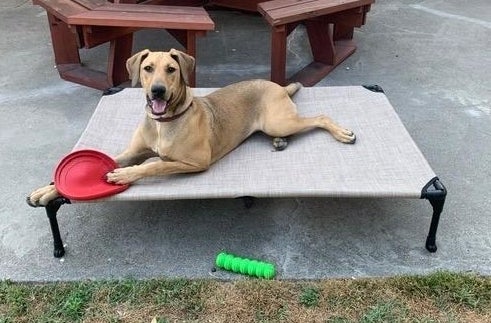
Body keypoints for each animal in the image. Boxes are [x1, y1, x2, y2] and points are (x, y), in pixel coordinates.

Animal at [26, 49, 356, 206]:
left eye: (171, 70)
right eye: (147, 69)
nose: (158, 91)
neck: (164, 123)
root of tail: (278, 85)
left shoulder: (195, 162)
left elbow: (154, 165)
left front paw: (125, 175)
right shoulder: (133, 151)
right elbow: (122, 158)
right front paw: (48, 189)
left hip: (280, 120)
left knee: (321, 117)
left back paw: (342, 133)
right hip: (276, 125)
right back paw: (279, 143)